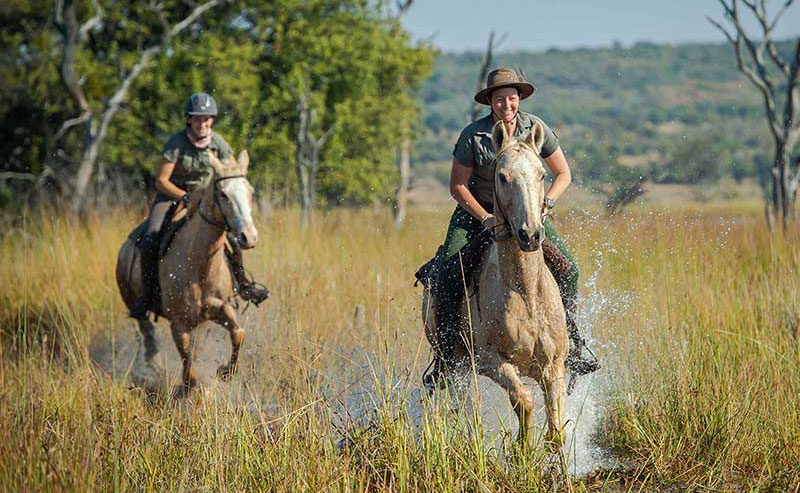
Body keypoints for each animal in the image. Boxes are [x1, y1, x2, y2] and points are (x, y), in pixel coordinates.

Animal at [115, 148, 258, 394]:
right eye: (223, 194)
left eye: (250, 192)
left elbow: (238, 333)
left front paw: (225, 372)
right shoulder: (178, 323)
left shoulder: (220, 309)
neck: (199, 265)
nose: (248, 237)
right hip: (132, 301)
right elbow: (188, 364)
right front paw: (186, 388)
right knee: (147, 332)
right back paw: (154, 365)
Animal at [424, 121, 568, 448]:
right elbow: (523, 400)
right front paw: (520, 449)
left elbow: (556, 430)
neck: (525, 294)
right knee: (464, 405)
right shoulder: (491, 361)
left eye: (542, 174)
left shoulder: (554, 365)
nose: (530, 234)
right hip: (457, 366)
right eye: (502, 176)